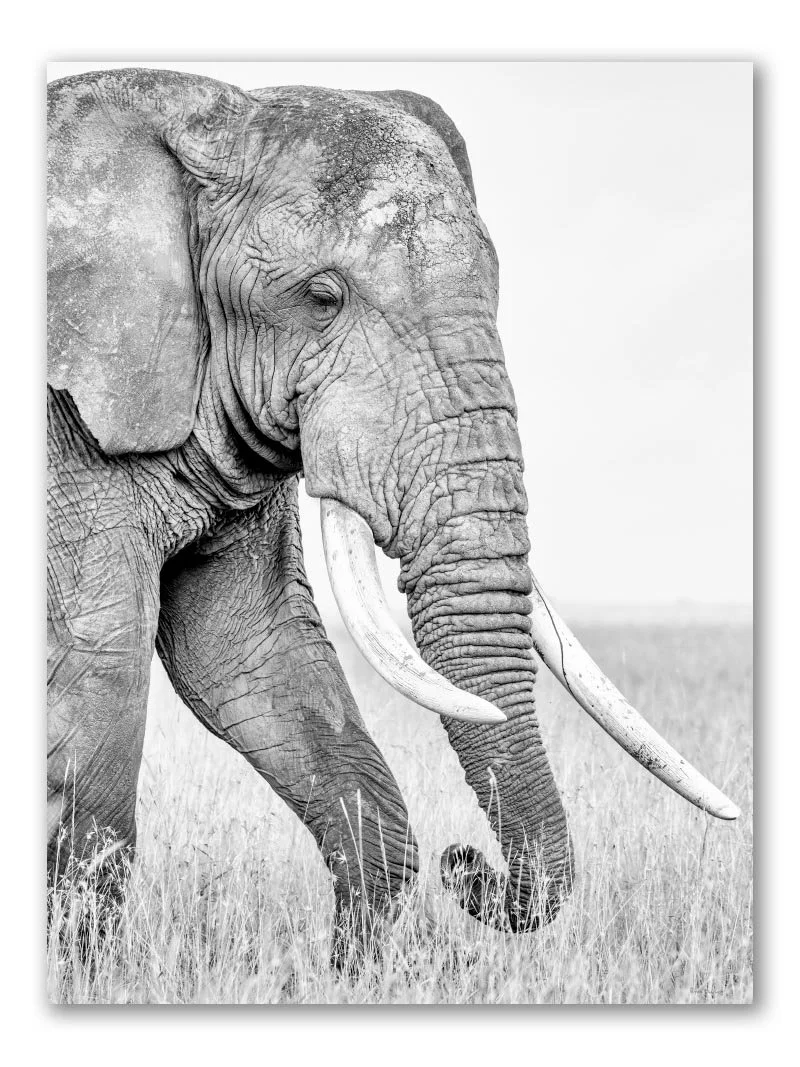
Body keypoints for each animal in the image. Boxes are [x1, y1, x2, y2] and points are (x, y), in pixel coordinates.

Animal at [47, 68, 739, 965]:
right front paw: (85, 973)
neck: (196, 111)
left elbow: (251, 649)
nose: (468, 864)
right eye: (322, 297)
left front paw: (351, 969)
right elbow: (100, 663)